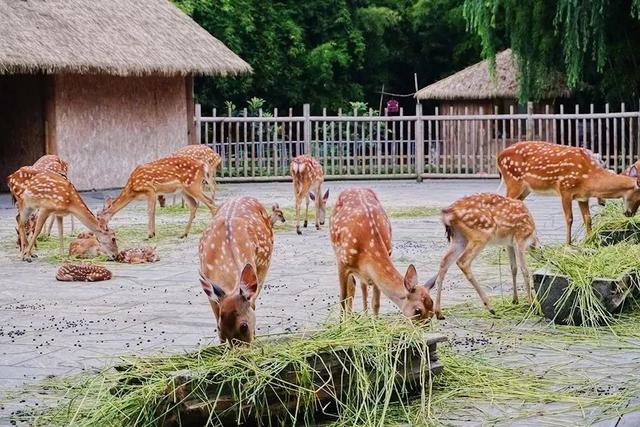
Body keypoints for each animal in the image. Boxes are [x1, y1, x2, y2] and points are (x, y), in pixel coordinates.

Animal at [330, 187, 436, 320]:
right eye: (418, 310)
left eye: (432, 312)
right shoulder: (342, 263)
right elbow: (342, 298)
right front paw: (341, 324)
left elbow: (376, 303)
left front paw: (374, 321)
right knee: (352, 287)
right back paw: (349, 318)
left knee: (362, 286)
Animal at [428, 192, 536, 320]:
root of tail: (448, 213)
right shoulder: (520, 239)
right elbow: (525, 270)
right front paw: (532, 305)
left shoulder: (509, 243)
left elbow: (513, 268)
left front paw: (515, 300)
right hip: (481, 234)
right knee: (463, 261)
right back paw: (490, 307)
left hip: (460, 238)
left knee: (444, 261)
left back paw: (439, 312)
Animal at [498, 142, 640, 246]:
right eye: (639, 197)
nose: (630, 214)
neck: (589, 178)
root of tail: (499, 157)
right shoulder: (565, 189)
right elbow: (569, 218)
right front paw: (568, 244)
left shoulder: (583, 197)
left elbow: (588, 219)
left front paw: (591, 240)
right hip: (513, 181)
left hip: (525, 189)